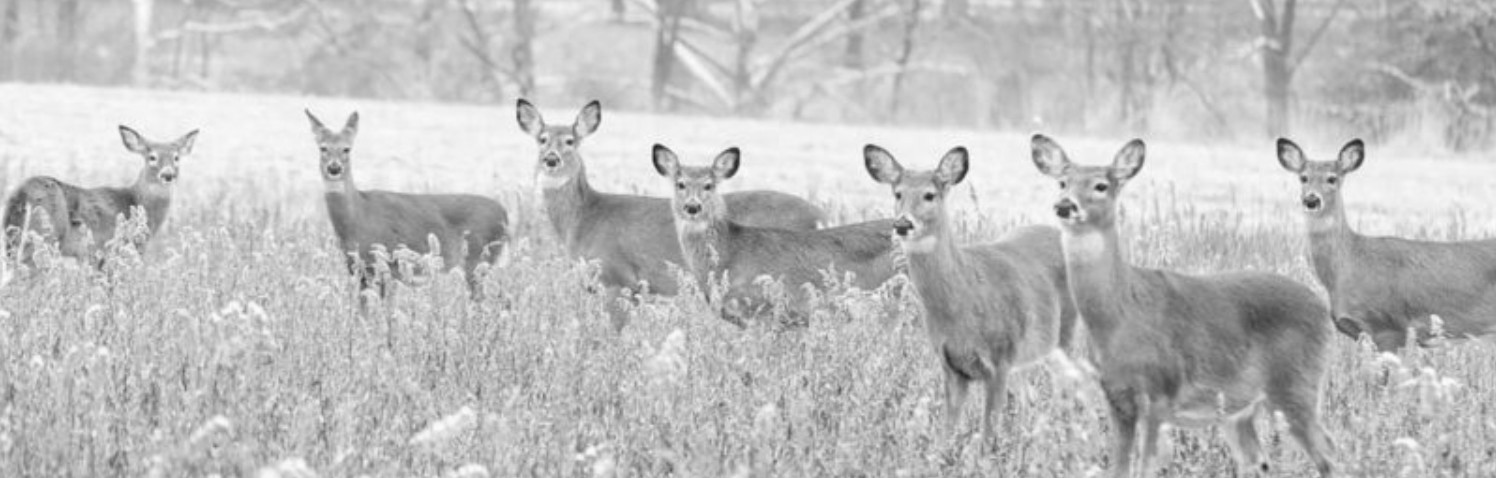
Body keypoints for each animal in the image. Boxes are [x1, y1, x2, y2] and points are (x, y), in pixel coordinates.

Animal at [4, 125, 198, 268]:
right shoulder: (110, 250)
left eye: (176, 158)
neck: (136, 201)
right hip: (44, 238)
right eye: (152, 157)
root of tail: (21, 194)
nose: (168, 175)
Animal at [306, 109, 509, 302]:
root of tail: (505, 215)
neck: (359, 217)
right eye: (323, 148)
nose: (334, 168)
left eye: (347, 149)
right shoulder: (358, 270)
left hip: (477, 259)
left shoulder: (387, 267)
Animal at [515, 99, 825, 329]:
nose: (551, 159)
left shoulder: (617, 277)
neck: (584, 219)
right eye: (542, 139)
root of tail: (820, 214)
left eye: (570, 141)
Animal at [862, 144, 1082, 445]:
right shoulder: (951, 366)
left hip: (1065, 334)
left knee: (1066, 393)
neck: (964, 297)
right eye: (898, 193)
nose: (903, 224)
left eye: (929, 195)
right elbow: (945, 434)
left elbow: (988, 436)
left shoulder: (999, 360)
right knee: (1031, 398)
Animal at [1032, 135, 1336, 477]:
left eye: (1100, 185)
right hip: (1240, 409)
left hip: (1297, 385)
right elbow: (1119, 468)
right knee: (1260, 461)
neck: (1120, 314)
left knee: (1329, 453)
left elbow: (1145, 468)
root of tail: (1323, 309)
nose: (1065, 205)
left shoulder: (1159, 393)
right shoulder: (1116, 398)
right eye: (1062, 182)